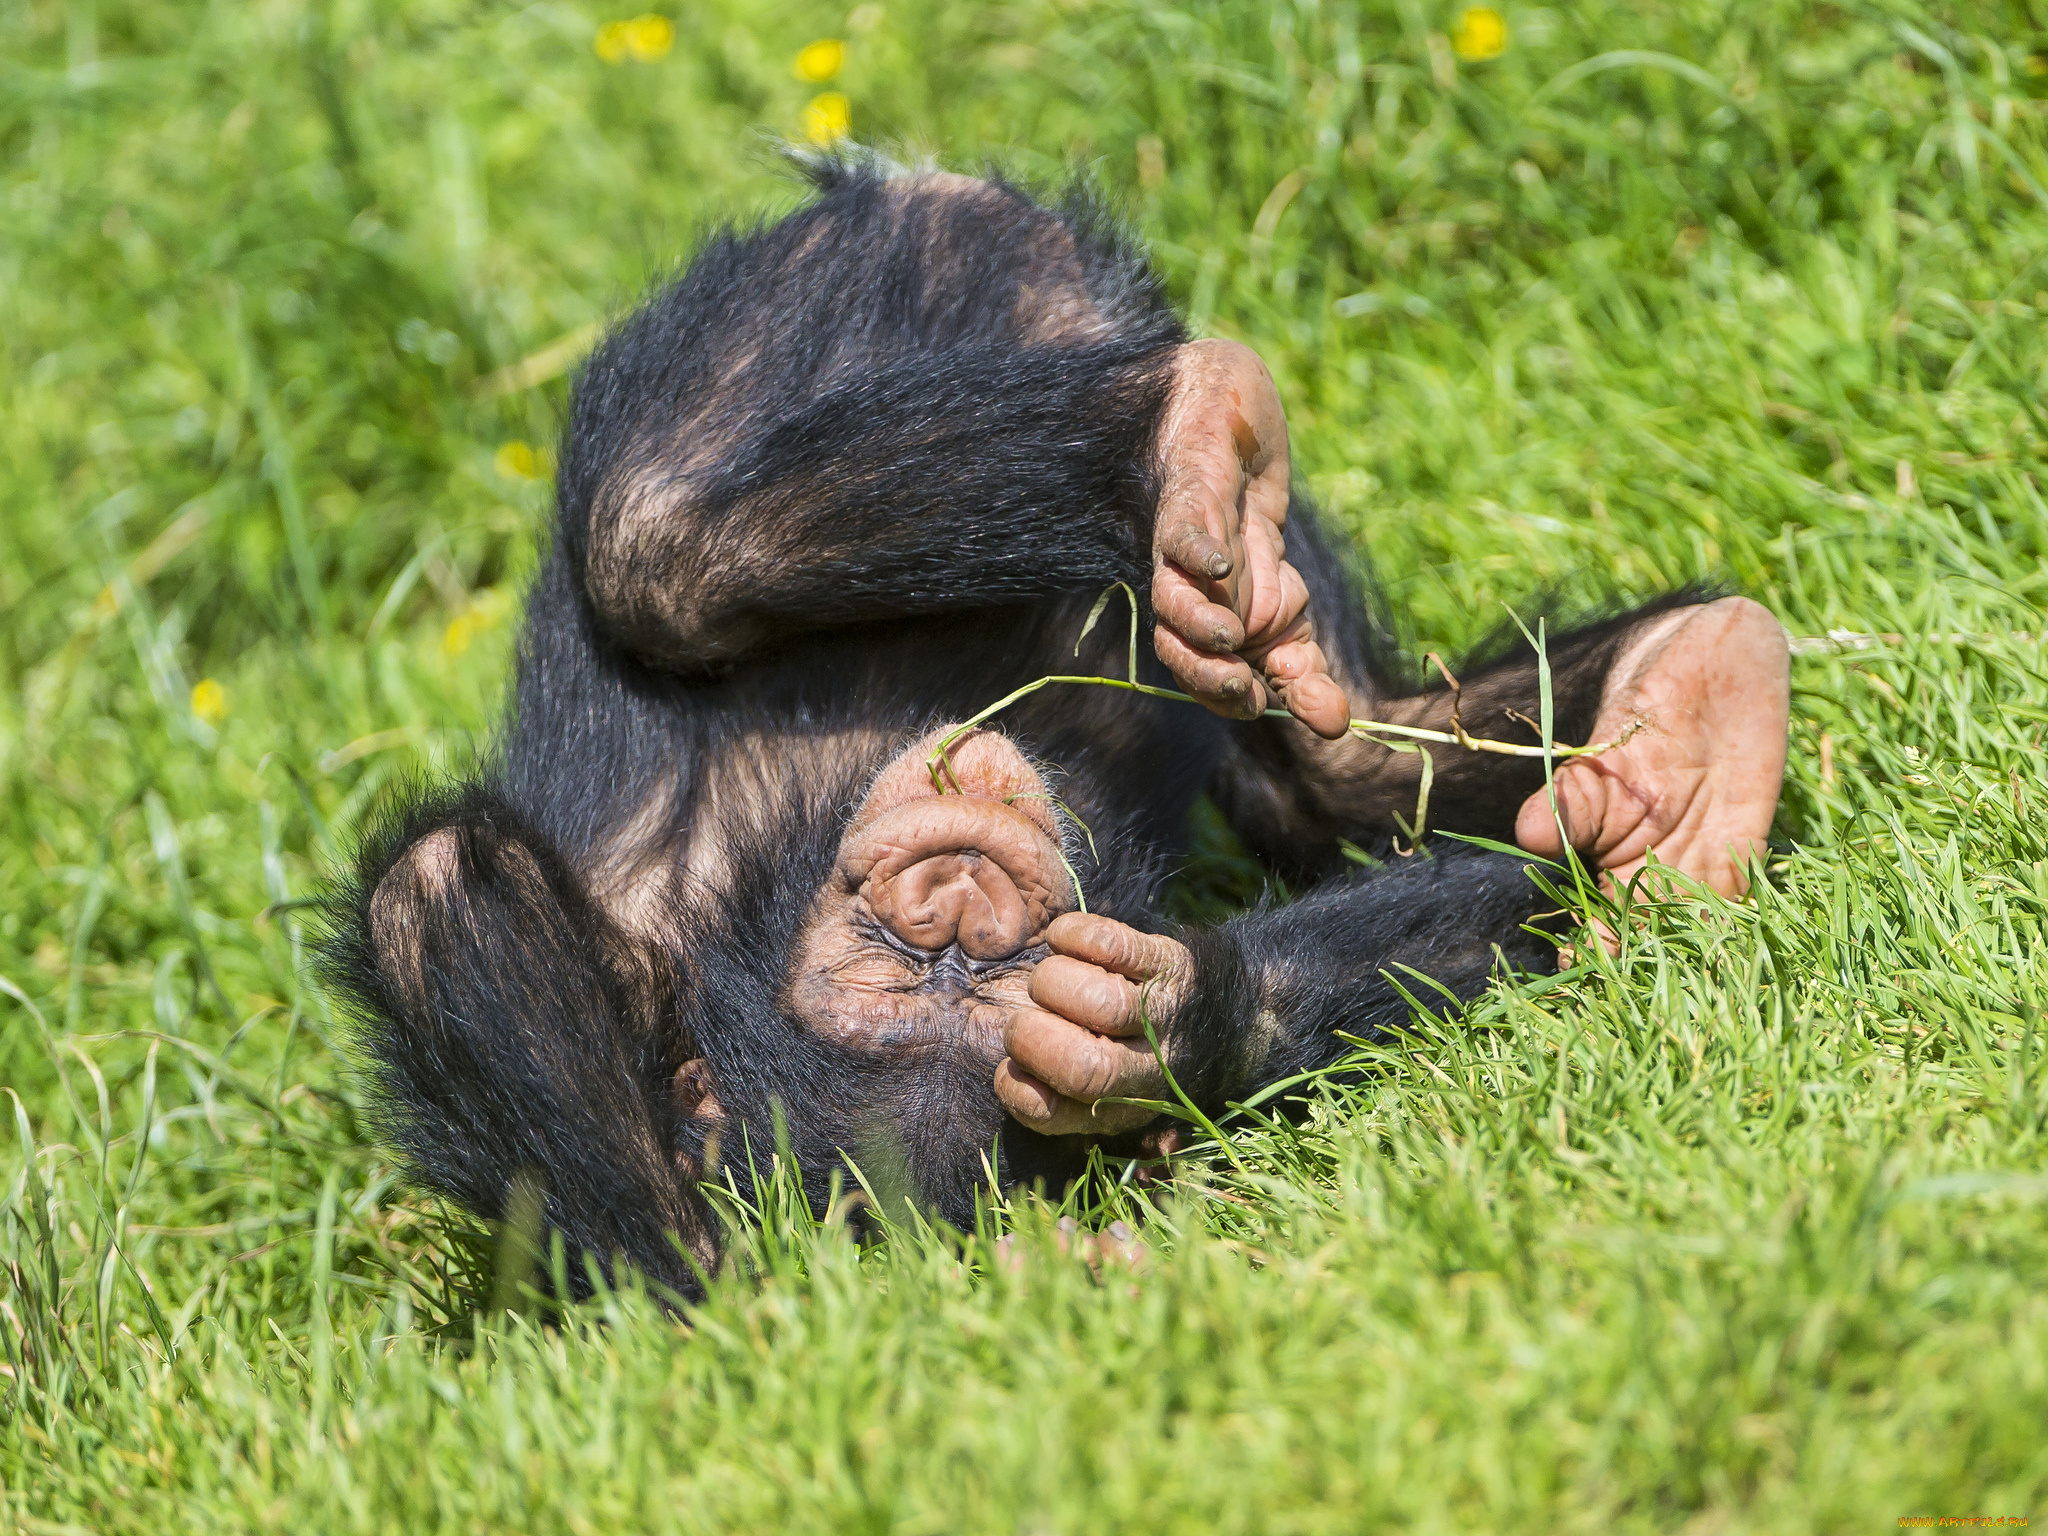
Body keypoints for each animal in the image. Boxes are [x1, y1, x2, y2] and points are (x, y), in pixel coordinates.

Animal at [315, 162, 1777, 1302]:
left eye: (978, 968)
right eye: (909, 969)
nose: (959, 902)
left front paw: (1149, 1023)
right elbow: (444, 907)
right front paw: (1156, 1035)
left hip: (861, 289)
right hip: (841, 294)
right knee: (651, 545)